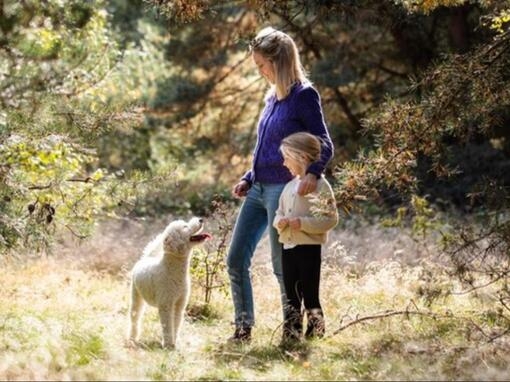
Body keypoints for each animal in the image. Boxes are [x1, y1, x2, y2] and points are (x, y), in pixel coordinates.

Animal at [128, 216, 210, 348]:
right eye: (185, 226)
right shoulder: (165, 305)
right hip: (136, 295)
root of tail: (146, 258)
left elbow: (175, 324)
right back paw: (132, 338)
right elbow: (167, 326)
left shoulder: (179, 305)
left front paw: (174, 342)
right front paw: (167, 344)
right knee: (135, 317)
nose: (201, 219)